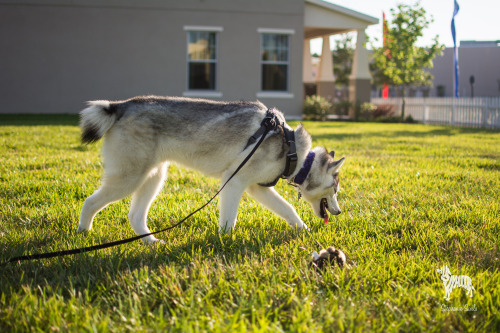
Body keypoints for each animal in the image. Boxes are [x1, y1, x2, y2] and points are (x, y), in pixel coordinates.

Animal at [77, 94, 344, 243]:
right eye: (334, 189)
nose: (338, 212)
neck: (292, 148)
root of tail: (121, 105)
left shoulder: (257, 188)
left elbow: (288, 209)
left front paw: (303, 230)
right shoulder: (234, 182)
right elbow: (228, 220)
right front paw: (224, 242)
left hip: (153, 177)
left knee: (135, 216)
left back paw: (151, 242)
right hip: (130, 177)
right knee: (90, 202)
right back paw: (83, 233)